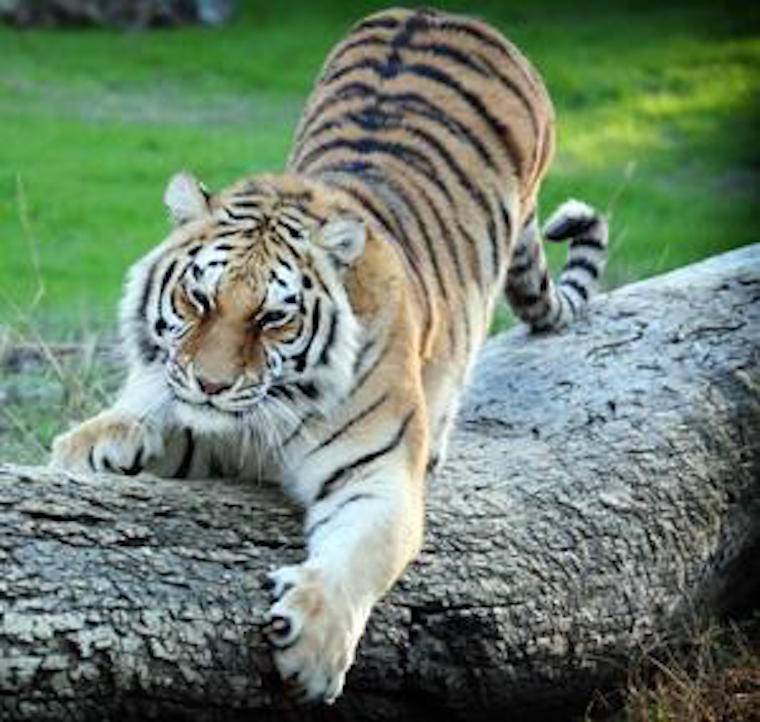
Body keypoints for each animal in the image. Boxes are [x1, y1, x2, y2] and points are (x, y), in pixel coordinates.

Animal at [50, 7, 608, 704]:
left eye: (273, 318)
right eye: (198, 299)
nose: (209, 385)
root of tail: (441, 13)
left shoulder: (377, 474)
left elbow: (364, 552)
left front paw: (312, 647)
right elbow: (149, 416)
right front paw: (95, 444)